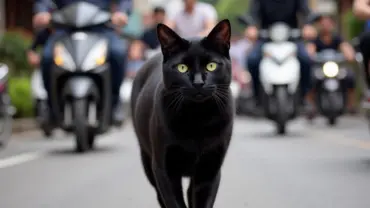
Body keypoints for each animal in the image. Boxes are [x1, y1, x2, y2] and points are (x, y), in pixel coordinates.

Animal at [131, 19, 234, 208]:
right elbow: (174, 202)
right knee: (160, 196)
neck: (198, 118)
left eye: (211, 65)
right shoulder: (164, 169)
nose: (198, 83)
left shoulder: (210, 169)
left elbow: (202, 201)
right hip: (147, 160)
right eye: (182, 67)